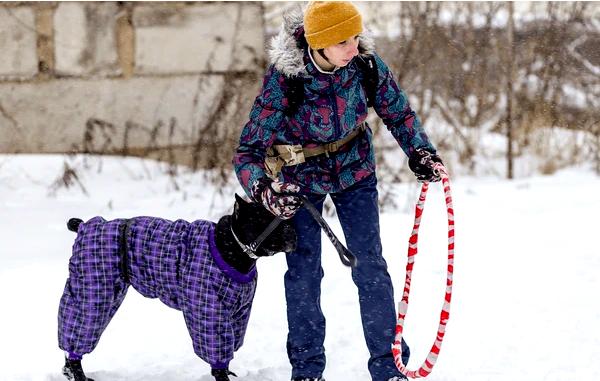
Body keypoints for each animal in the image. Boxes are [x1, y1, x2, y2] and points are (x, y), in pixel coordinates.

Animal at [57, 194, 296, 378]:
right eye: (263, 219)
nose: (292, 230)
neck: (232, 249)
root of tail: (84, 226)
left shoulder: (238, 315)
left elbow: (228, 351)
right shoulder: (210, 314)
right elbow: (218, 358)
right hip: (93, 294)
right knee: (76, 339)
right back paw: (78, 374)